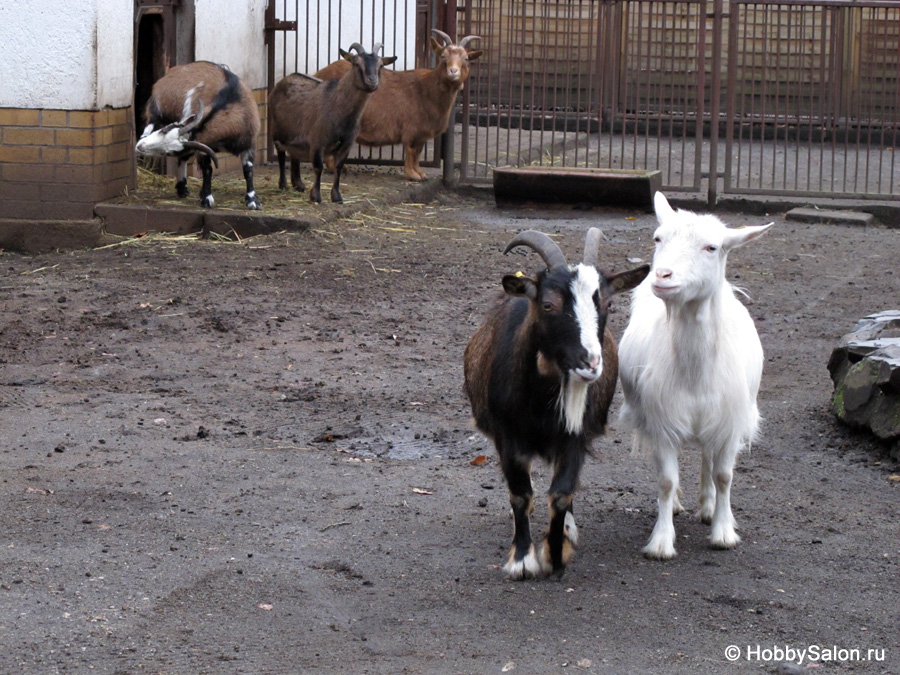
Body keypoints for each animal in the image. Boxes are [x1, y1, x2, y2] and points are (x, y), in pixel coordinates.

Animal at [316, 30, 486, 181]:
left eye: (466, 58)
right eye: (443, 56)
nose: (453, 71)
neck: (427, 89)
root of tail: (319, 73)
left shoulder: (421, 133)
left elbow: (418, 153)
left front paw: (420, 173)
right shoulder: (411, 129)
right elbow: (411, 151)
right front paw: (412, 175)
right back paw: (333, 167)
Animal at [464, 230, 648, 580]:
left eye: (608, 303)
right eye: (548, 304)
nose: (590, 363)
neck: (540, 404)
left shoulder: (574, 436)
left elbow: (561, 494)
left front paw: (555, 552)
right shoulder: (508, 438)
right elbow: (520, 495)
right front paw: (522, 560)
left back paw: (567, 530)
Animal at [620, 194, 772, 560]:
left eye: (711, 247)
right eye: (658, 238)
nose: (662, 275)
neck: (695, 372)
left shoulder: (730, 420)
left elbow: (724, 475)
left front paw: (723, 532)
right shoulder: (662, 419)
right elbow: (666, 480)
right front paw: (661, 542)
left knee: (707, 455)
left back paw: (708, 507)